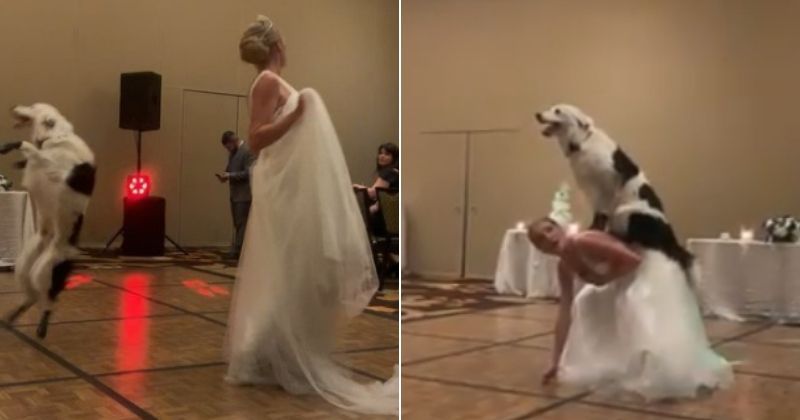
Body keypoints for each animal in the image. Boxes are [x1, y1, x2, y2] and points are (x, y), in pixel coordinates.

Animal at [0, 104, 95, 338]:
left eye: (32, 107)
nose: (12, 107)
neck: (54, 137)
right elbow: (31, 153)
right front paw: (18, 158)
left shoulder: (54, 168)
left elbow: (29, 148)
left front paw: (11, 147)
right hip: (23, 267)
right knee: (32, 297)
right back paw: (15, 314)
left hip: (44, 271)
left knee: (49, 300)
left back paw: (43, 325)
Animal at [536, 104, 692, 272]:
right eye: (551, 108)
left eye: (558, 111)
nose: (537, 114)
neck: (582, 141)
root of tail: (670, 238)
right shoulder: (592, 190)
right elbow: (598, 214)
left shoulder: (608, 182)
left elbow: (602, 214)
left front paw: (593, 231)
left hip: (625, 211)